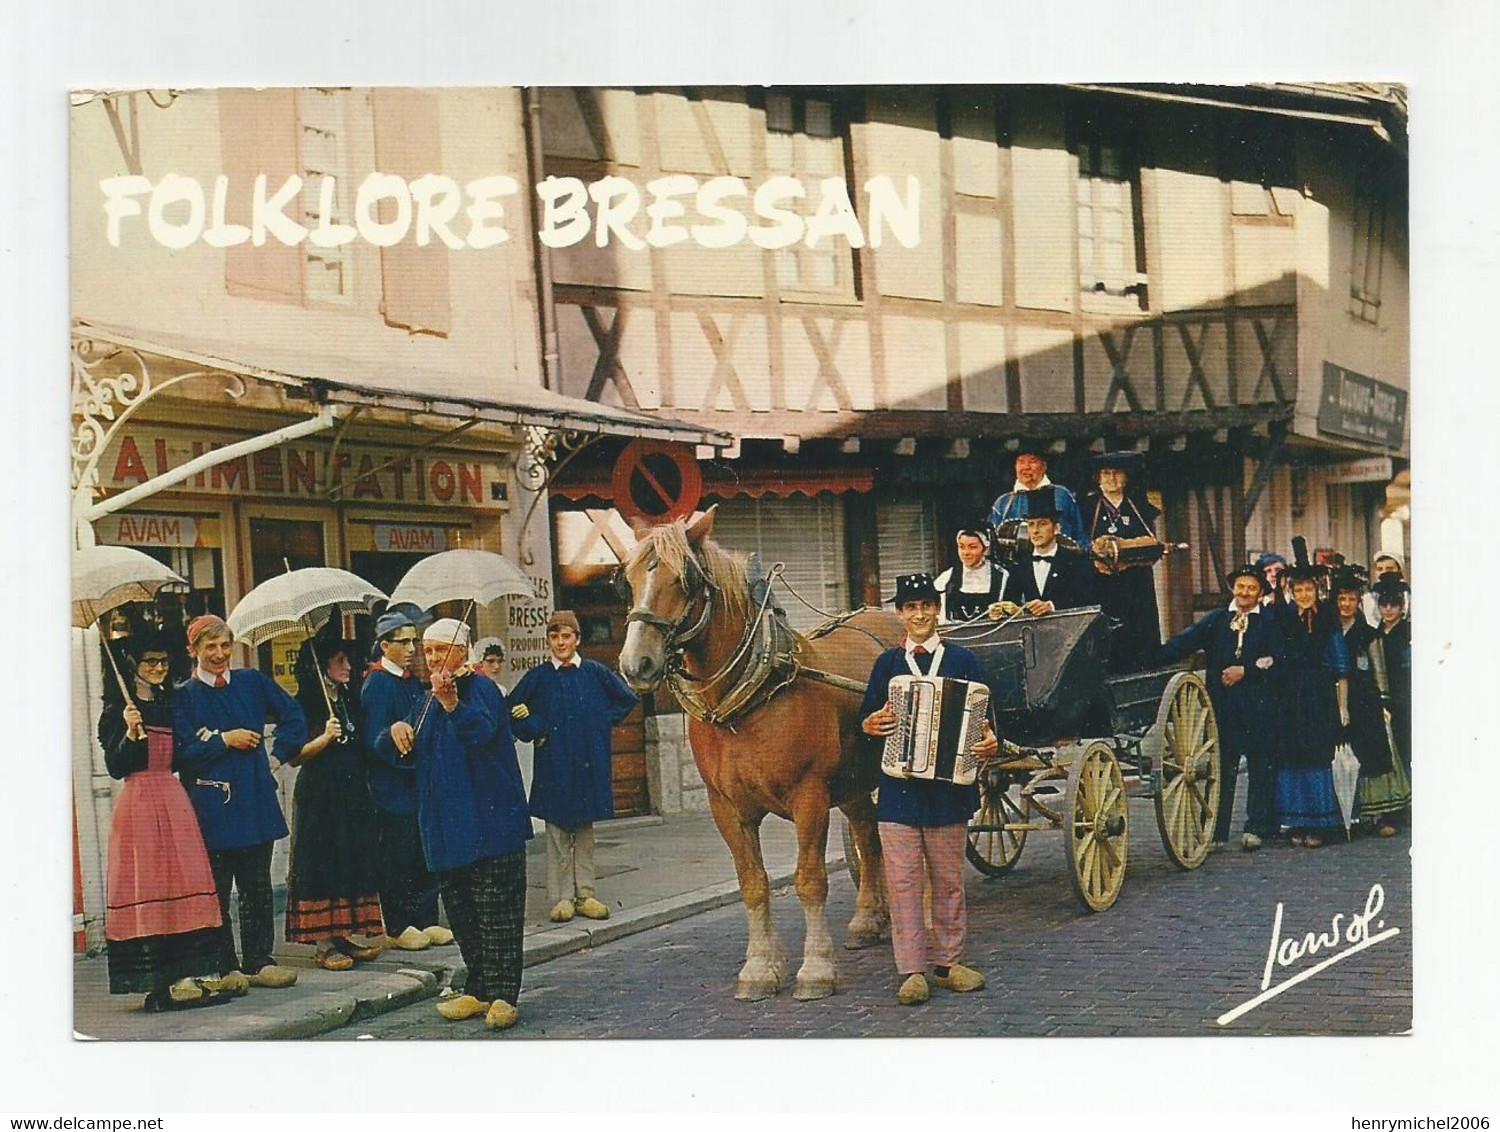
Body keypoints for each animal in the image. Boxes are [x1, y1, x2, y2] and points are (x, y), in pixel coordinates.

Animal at [615, 512, 894, 1001]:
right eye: (628, 580)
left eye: (684, 580)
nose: (636, 665)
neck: (752, 695)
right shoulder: (726, 808)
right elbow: (753, 884)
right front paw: (760, 967)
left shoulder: (809, 797)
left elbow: (809, 880)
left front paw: (816, 969)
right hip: (856, 779)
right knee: (869, 834)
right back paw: (867, 919)